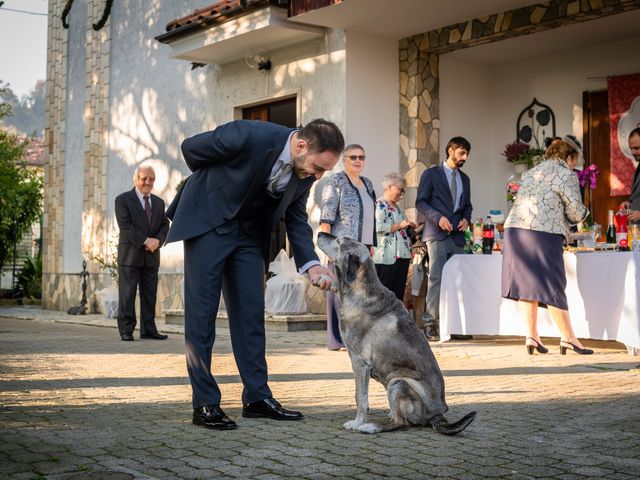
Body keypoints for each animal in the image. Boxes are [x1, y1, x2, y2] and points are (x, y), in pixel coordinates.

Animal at [316, 232, 476, 436]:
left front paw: (358, 422)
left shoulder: (360, 362)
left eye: (339, 241)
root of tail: (438, 415)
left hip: (398, 383)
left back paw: (371, 427)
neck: (361, 291)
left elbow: (360, 397)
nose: (320, 233)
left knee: (401, 423)